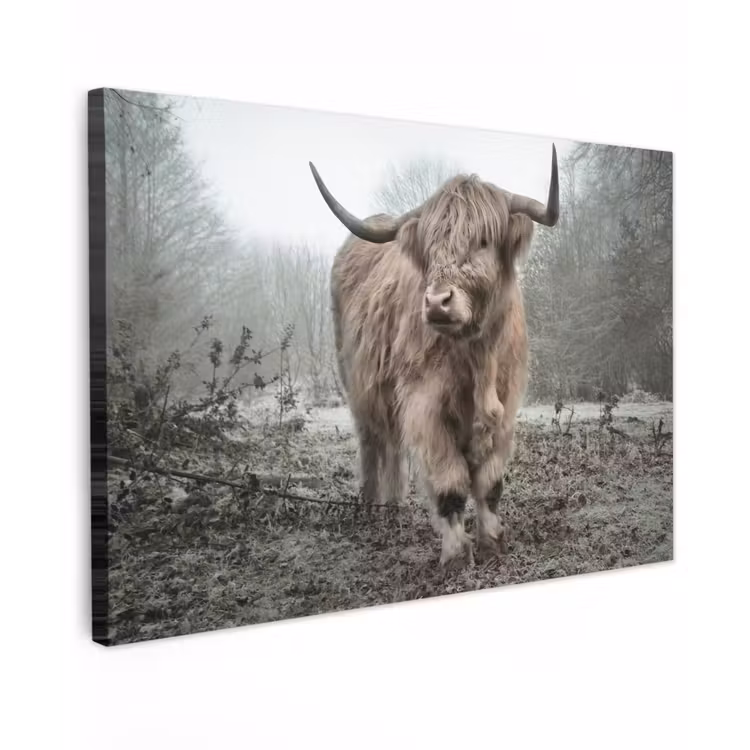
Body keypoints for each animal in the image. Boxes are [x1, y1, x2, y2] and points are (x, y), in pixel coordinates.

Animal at [309, 146, 559, 570]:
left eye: (483, 240)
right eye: (430, 246)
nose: (438, 303)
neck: (477, 358)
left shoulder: (507, 406)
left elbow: (490, 483)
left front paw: (493, 543)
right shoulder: (425, 407)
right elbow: (450, 484)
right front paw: (456, 555)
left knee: (392, 447)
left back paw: (393, 507)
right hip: (358, 388)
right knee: (372, 443)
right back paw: (372, 508)